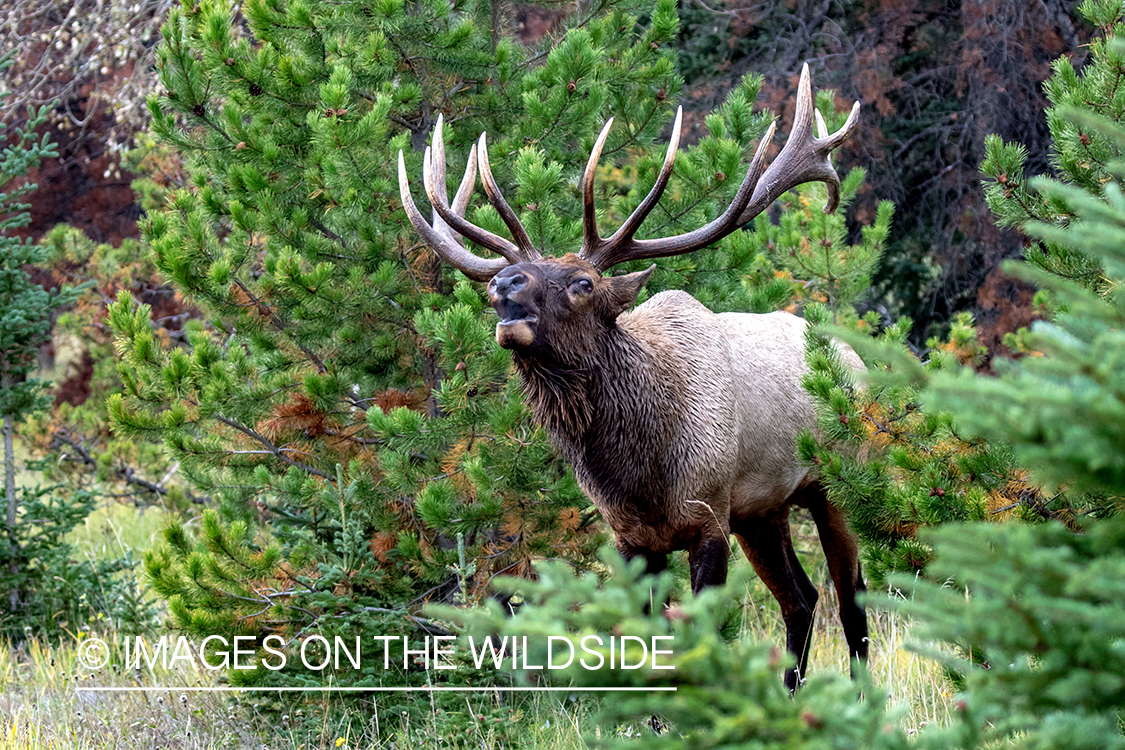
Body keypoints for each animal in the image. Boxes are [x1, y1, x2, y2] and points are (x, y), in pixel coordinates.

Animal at [400, 66, 864, 692]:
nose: (504, 283)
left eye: (583, 284)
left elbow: (701, 640)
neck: (641, 471)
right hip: (764, 510)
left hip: (837, 484)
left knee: (851, 602)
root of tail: (861, 363)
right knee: (802, 598)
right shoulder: (631, 538)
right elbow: (646, 647)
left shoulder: (708, 515)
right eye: (508, 273)